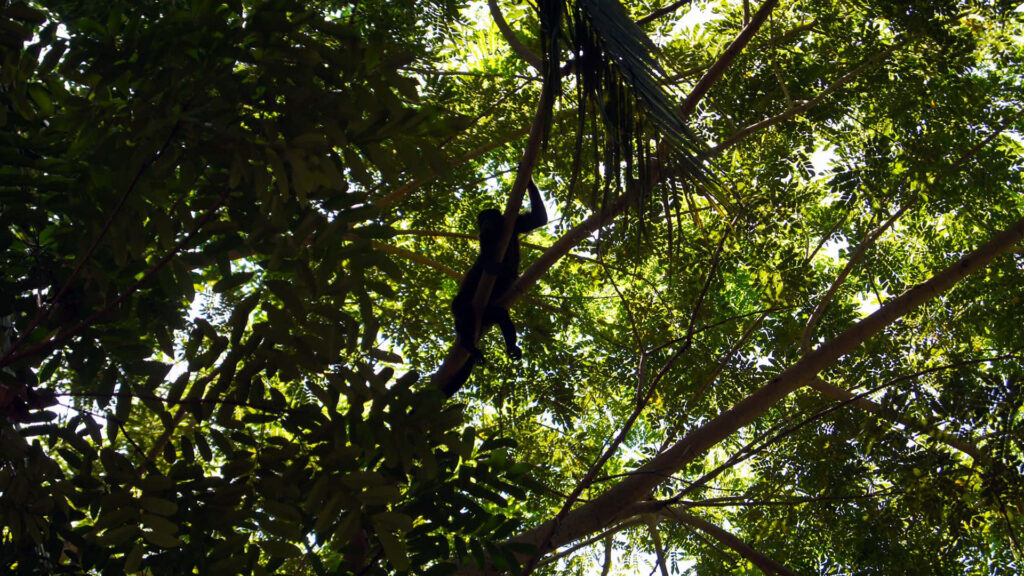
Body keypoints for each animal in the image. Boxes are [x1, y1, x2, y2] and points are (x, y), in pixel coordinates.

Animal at [446, 179, 547, 394]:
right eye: (481, 220)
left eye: (489, 216)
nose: (484, 223)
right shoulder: (484, 237)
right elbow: (486, 261)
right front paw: (497, 268)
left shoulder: (515, 223)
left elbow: (538, 219)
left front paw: (527, 176)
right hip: (468, 303)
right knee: (460, 307)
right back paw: (469, 346)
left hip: (488, 312)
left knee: (500, 314)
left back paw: (512, 347)